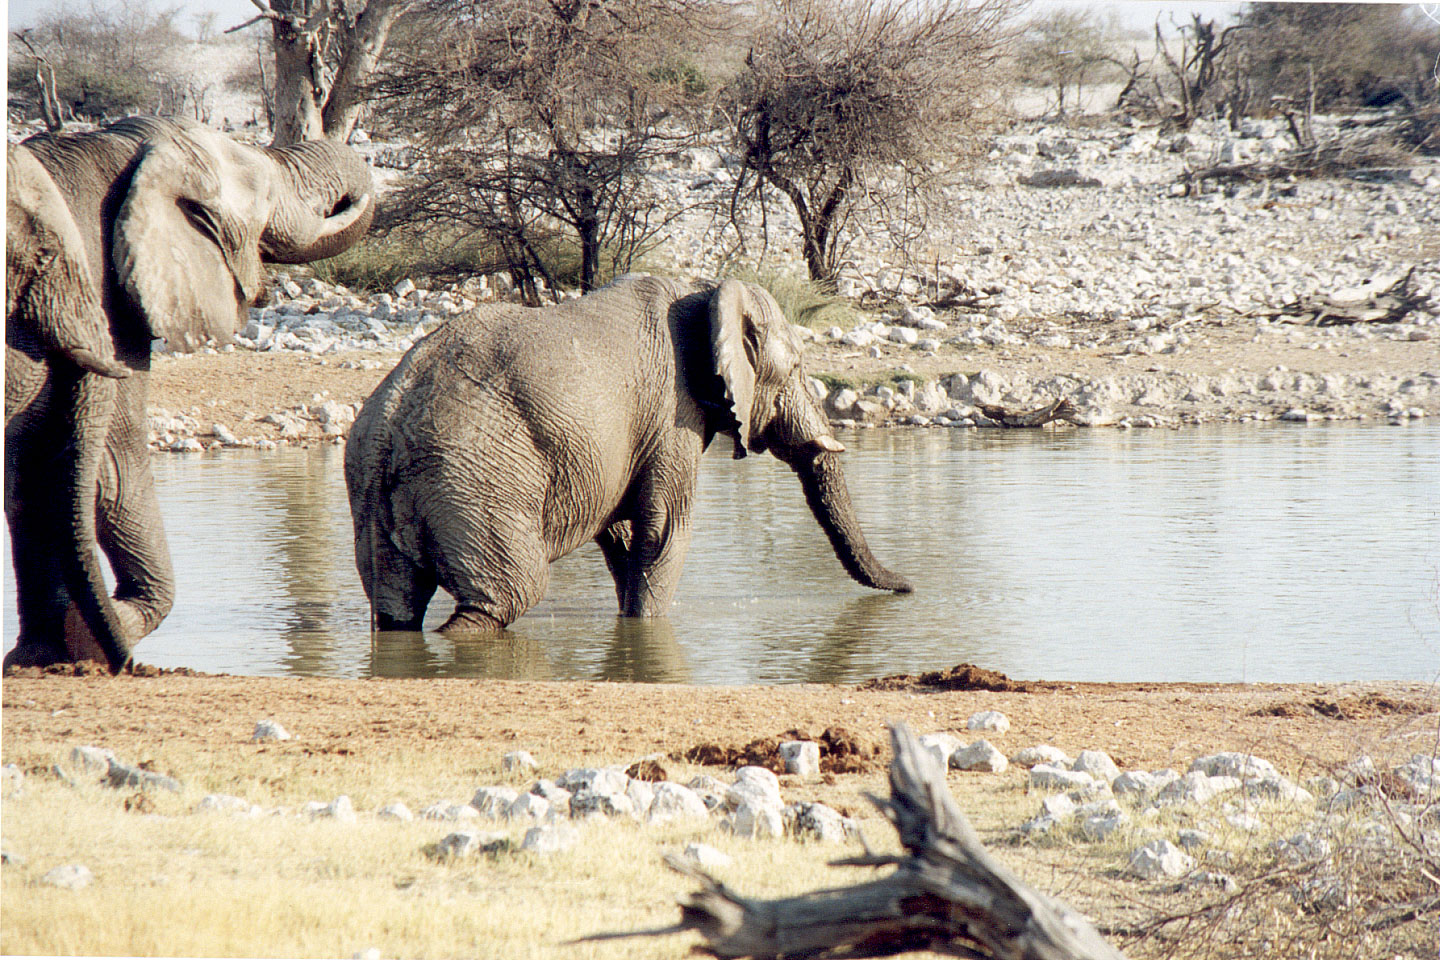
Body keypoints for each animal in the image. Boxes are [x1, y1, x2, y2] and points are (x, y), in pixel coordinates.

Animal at [5, 118, 374, 676]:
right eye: (268, 194)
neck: (120, 146)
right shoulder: (109, 298)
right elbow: (114, 460)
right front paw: (97, 634)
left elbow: (37, 469)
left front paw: (43, 656)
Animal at [345, 277, 910, 633]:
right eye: (794, 368)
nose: (911, 588)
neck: (703, 294)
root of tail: (387, 429)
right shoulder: (672, 413)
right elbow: (663, 529)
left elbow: (622, 535)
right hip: (474, 483)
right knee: (510, 593)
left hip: (380, 497)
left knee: (396, 606)